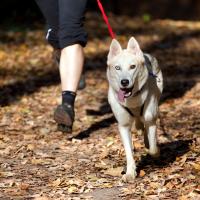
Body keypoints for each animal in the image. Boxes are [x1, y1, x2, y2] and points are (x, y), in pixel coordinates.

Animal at [107, 36, 163, 182]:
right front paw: (130, 173)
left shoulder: (151, 119)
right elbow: (128, 152)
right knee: (138, 123)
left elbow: (153, 148)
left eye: (132, 66)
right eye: (117, 68)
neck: (133, 99)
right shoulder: (123, 125)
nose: (124, 82)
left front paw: (154, 151)